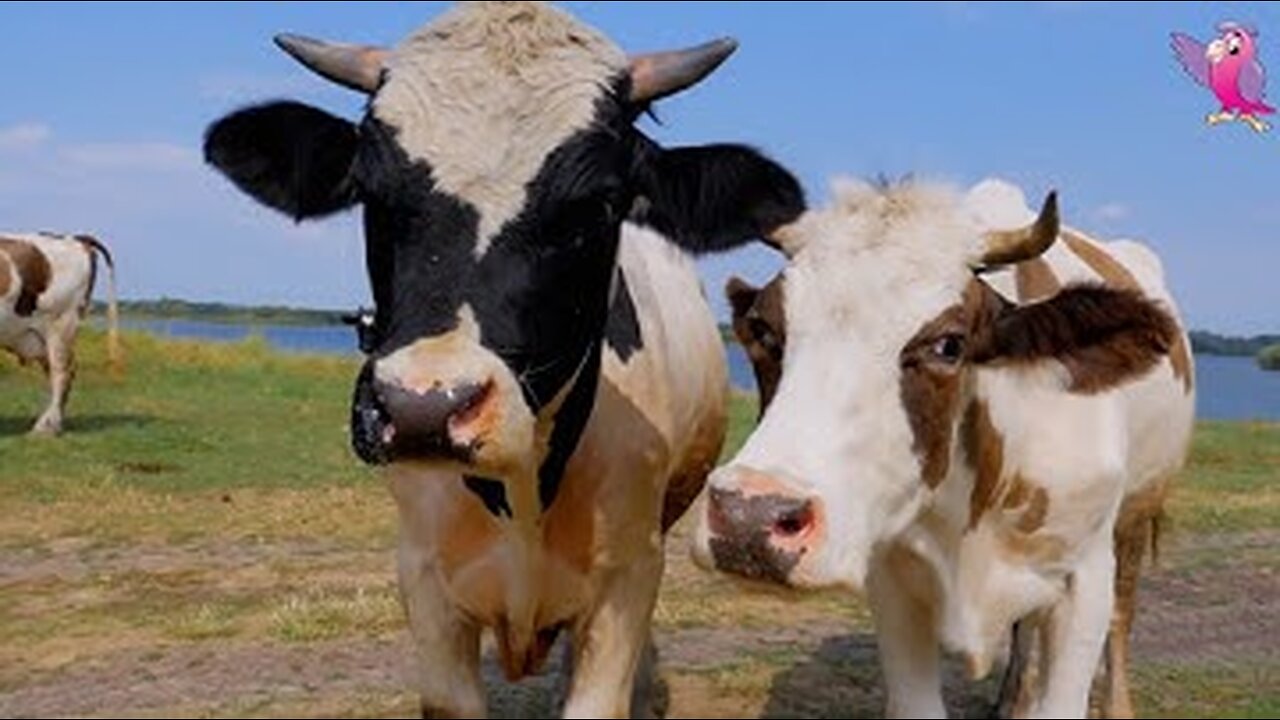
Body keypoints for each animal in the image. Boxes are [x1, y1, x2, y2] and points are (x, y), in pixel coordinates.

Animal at [1, 230, 120, 430]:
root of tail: (74, 238)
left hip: (61, 323)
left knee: (62, 371)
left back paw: (48, 426)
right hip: (41, 336)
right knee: (57, 370)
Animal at [200, 4, 803, 712]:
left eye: (601, 202)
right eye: (369, 190)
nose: (424, 407)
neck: (521, 490)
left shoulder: (627, 575)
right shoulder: (425, 581)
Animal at [696, 176, 1192, 712]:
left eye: (949, 345)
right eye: (764, 330)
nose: (749, 516)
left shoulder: (1085, 579)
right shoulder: (890, 578)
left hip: (1138, 511)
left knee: (1123, 614)